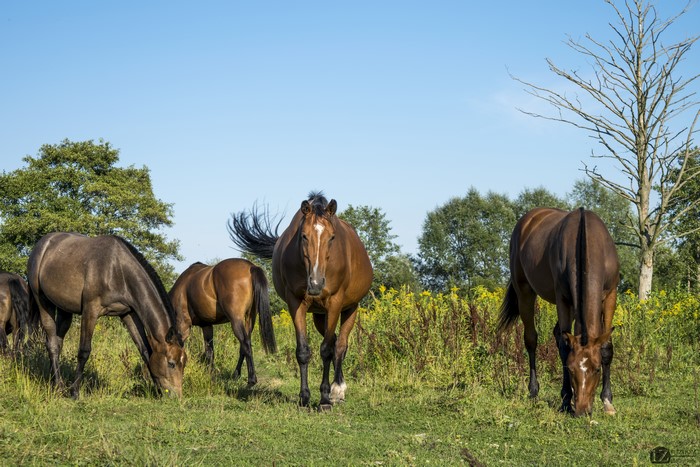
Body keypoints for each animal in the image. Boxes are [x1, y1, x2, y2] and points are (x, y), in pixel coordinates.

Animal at [27, 232, 187, 399]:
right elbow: (84, 351)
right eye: (171, 363)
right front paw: (75, 392)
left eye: (184, 363)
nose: (176, 397)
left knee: (58, 343)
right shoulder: (90, 310)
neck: (118, 270)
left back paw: (56, 382)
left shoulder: (128, 314)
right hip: (43, 301)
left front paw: (157, 389)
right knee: (52, 343)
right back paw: (58, 387)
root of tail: (43, 243)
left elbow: (144, 350)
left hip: (65, 309)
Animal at [229, 191, 373, 408]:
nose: (316, 283)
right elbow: (303, 352)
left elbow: (327, 350)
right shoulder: (296, 303)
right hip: (320, 316)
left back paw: (338, 389)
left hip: (350, 308)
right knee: (335, 340)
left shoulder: (335, 303)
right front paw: (304, 396)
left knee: (340, 345)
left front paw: (324, 399)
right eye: (304, 236)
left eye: (332, 237)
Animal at [497, 207, 619, 417]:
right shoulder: (562, 298)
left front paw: (607, 401)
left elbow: (606, 347)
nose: (582, 410)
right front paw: (565, 400)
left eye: (596, 369)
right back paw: (533, 391)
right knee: (531, 339)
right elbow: (563, 347)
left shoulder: (611, 294)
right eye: (570, 369)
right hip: (524, 291)